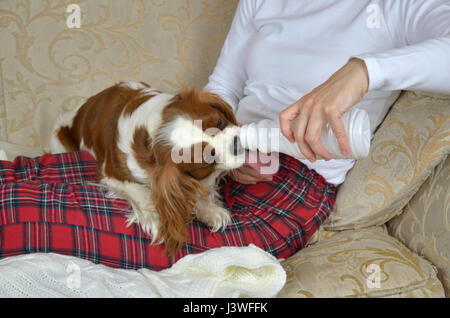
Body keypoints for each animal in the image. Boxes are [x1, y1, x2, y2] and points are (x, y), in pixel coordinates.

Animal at [51, 81, 244, 253]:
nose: (236, 144)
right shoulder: (111, 174)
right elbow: (141, 191)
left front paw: (208, 209)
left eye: (220, 123)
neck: (155, 130)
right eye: (208, 158)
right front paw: (156, 219)